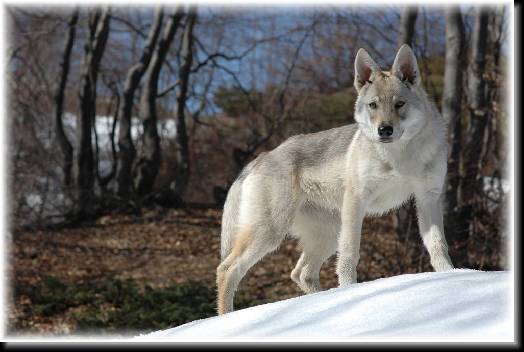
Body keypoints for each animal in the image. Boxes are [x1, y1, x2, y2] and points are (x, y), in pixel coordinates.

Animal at [215, 44, 452, 314]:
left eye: (399, 104)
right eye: (373, 105)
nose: (384, 130)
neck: (400, 156)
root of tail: (261, 157)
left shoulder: (428, 199)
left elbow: (438, 246)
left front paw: (454, 276)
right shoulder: (356, 202)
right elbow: (350, 254)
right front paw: (350, 291)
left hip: (325, 235)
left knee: (301, 273)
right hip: (272, 233)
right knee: (227, 269)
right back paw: (225, 318)